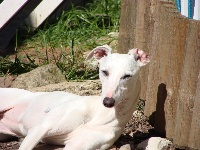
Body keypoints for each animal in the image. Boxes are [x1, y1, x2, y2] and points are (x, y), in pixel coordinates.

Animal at [0, 45, 148, 149]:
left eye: (127, 76)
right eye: (105, 72)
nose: (108, 102)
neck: (99, 116)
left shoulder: (77, 145)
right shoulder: (41, 128)